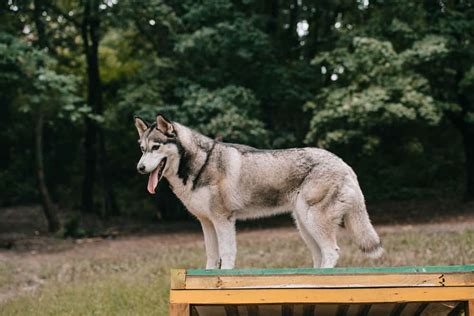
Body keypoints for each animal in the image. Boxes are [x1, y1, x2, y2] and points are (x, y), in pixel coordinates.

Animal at [132, 115, 382, 268]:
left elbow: (226, 255)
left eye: (156, 147)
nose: (140, 168)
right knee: (320, 255)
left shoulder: (224, 221)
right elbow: (212, 257)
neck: (200, 164)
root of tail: (345, 165)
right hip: (304, 226)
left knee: (332, 251)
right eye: (142, 149)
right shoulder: (207, 223)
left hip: (313, 222)